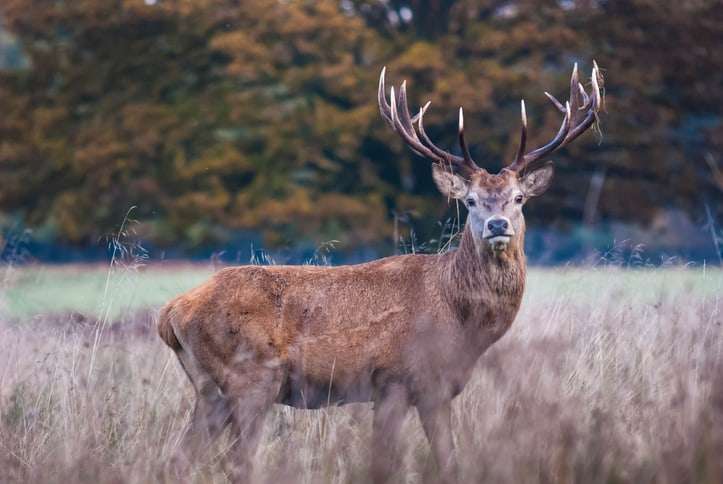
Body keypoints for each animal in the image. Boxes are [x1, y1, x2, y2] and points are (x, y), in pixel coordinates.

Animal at [160, 61, 604, 484]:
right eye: (471, 201)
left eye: (519, 197)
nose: (498, 225)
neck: (462, 328)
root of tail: (171, 312)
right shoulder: (394, 380)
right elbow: (384, 464)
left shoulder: (436, 390)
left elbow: (450, 462)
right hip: (251, 379)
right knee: (237, 462)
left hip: (210, 390)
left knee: (179, 458)